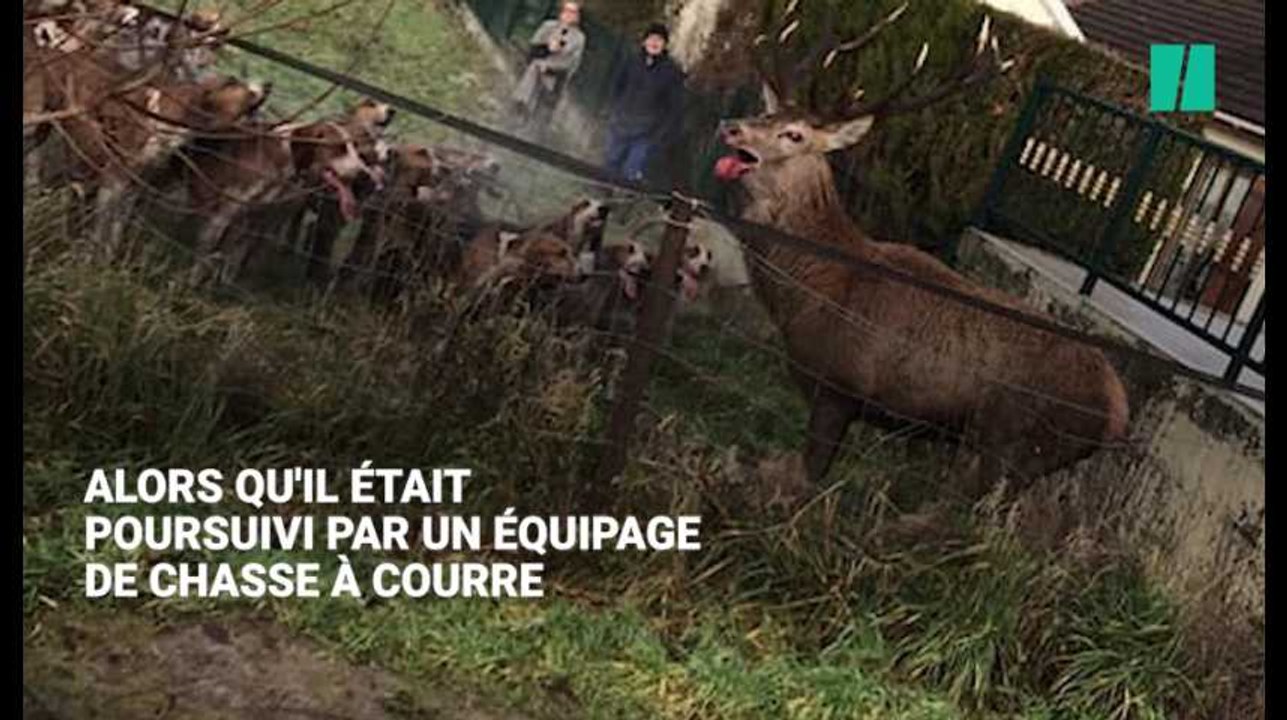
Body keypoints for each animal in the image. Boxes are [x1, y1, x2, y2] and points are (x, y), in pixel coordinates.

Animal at [710, 4, 1130, 501]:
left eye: (794, 135)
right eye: (768, 113)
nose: (732, 126)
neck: (810, 291)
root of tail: (1117, 414)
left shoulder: (841, 385)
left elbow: (802, 478)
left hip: (1015, 443)